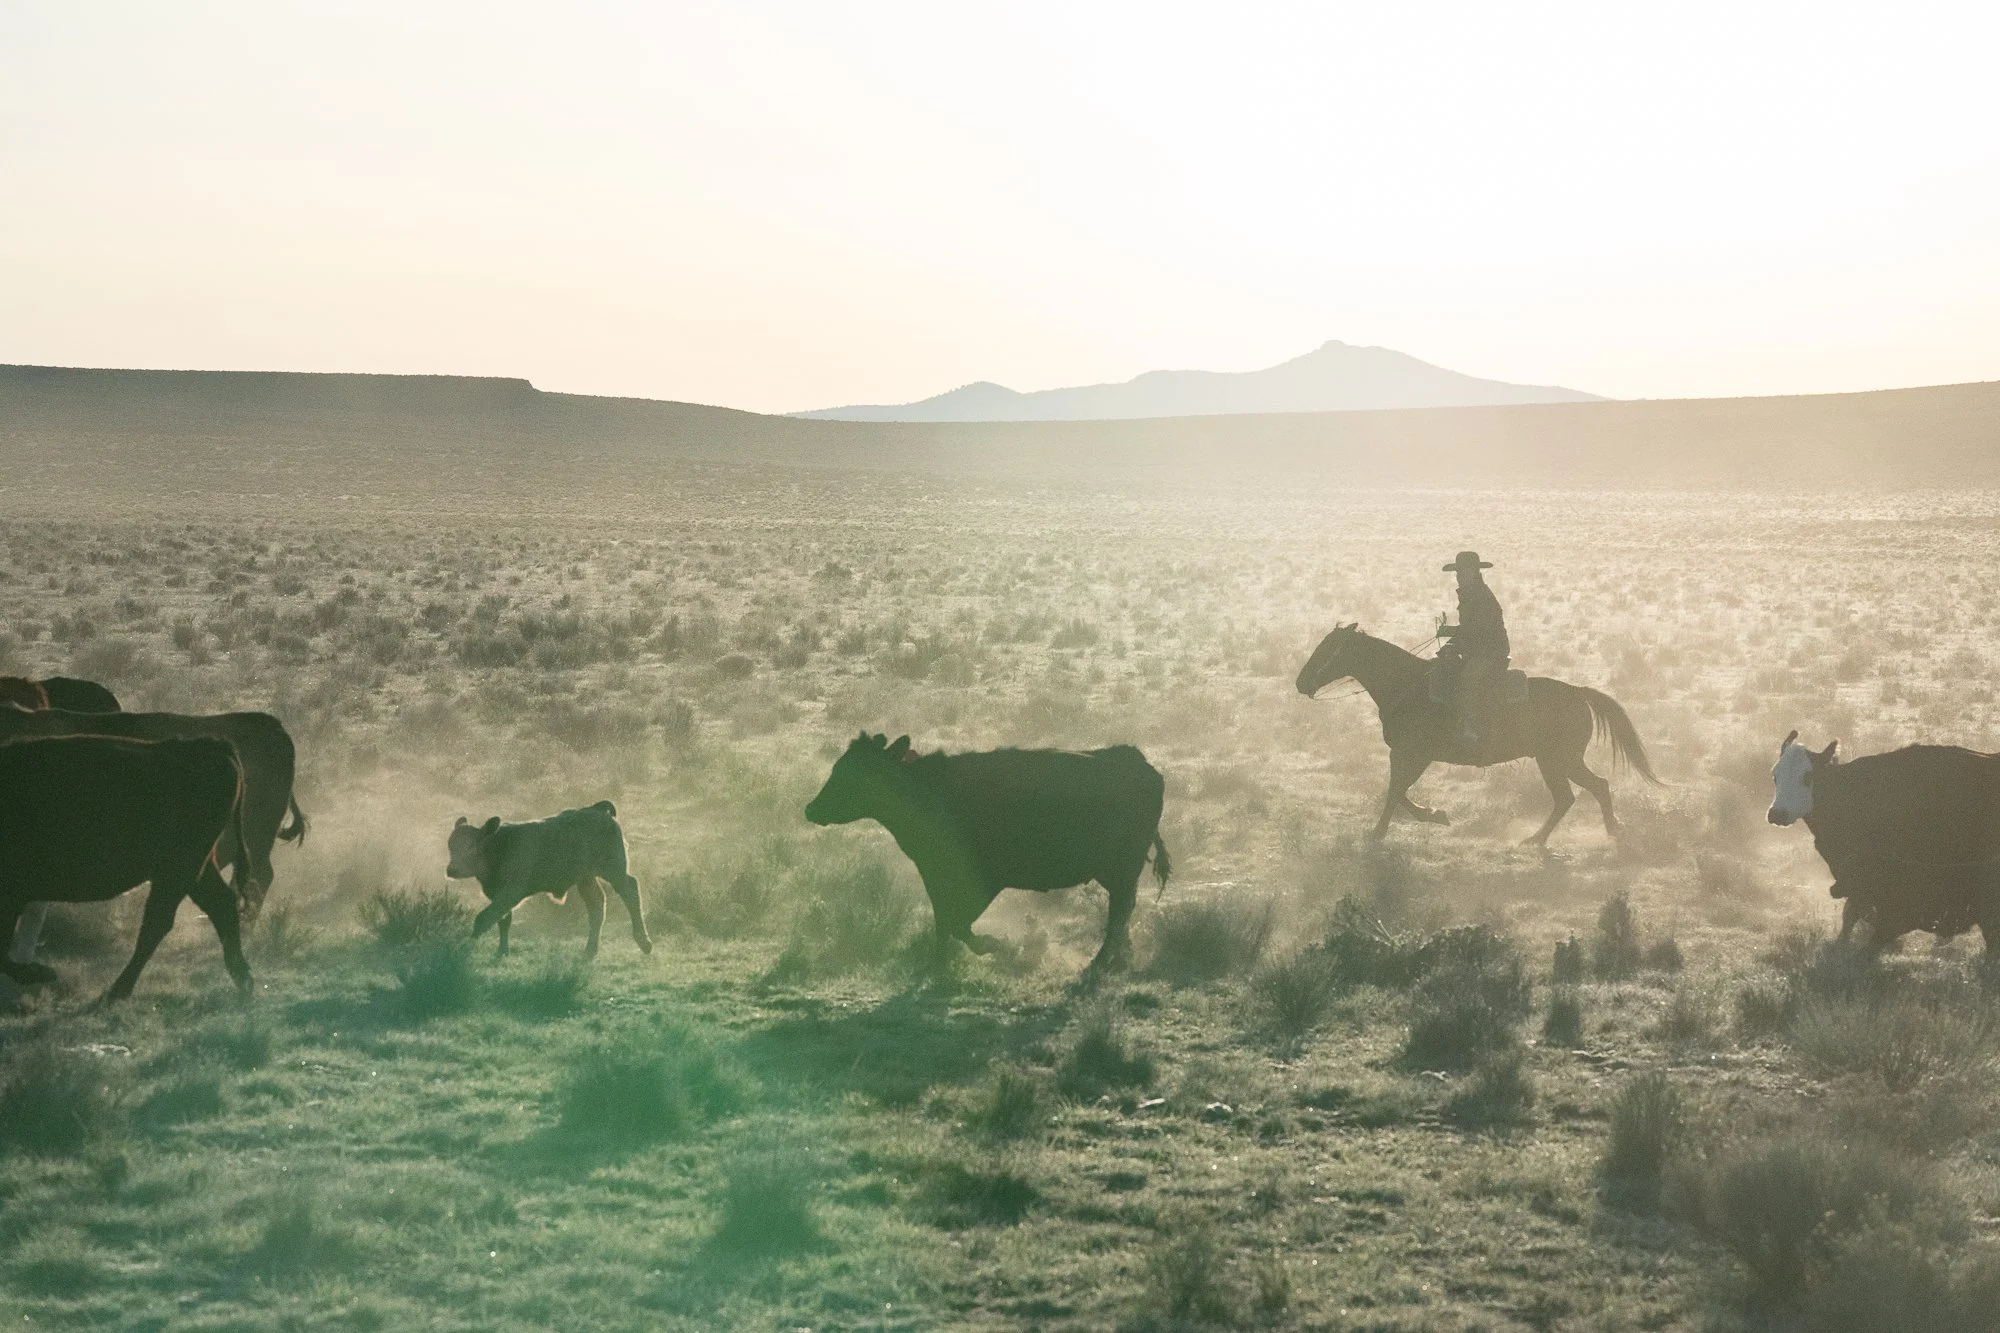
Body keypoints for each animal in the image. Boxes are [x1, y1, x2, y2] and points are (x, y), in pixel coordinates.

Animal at [0, 735, 251, 999]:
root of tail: (204, 745)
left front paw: (41, 972)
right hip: (194, 870)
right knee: (220, 904)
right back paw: (244, 980)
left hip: (178, 872)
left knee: (158, 922)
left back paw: (116, 991)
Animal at [446, 801, 653, 960]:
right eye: (450, 846)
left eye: (472, 847)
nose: (451, 870)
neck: (500, 844)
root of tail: (597, 809)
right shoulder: (499, 895)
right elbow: (502, 920)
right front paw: (502, 951)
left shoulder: (510, 892)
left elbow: (483, 918)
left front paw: (463, 948)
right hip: (586, 879)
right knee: (597, 906)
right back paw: (589, 951)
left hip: (613, 870)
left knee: (630, 891)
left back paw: (644, 943)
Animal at [803, 732, 1172, 973]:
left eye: (857, 774)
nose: (811, 809)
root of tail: (1138, 762)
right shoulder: (934, 873)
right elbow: (944, 921)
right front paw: (937, 966)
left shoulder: (983, 879)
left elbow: (959, 923)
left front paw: (997, 946)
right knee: (1123, 912)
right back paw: (1118, 960)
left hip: (1121, 869)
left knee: (1120, 912)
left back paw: (1099, 964)